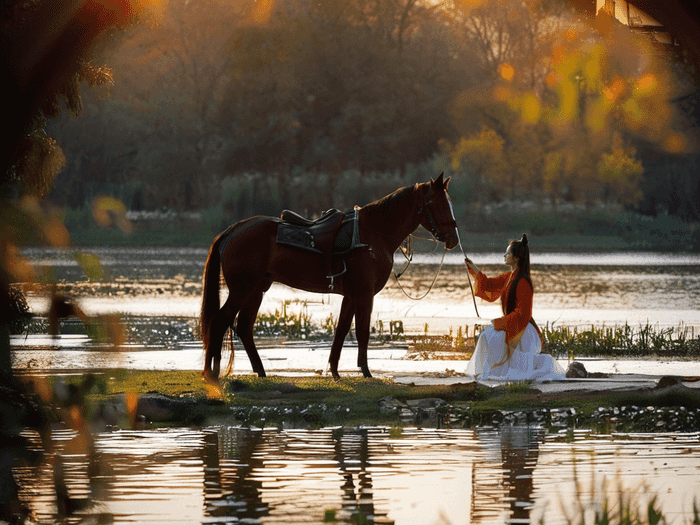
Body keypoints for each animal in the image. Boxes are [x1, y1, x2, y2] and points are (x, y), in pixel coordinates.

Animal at [200, 172, 460, 380]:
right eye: (438, 204)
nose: (453, 239)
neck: (373, 234)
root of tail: (233, 230)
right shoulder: (364, 294)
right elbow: (362, 332)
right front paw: (366, 371)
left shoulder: (351, 296)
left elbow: (342, 330)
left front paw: (335, 371)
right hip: (242, 289)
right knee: (219, 321)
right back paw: (212, 371)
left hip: (257, 289)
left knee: (243, 327)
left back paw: (259, 371)